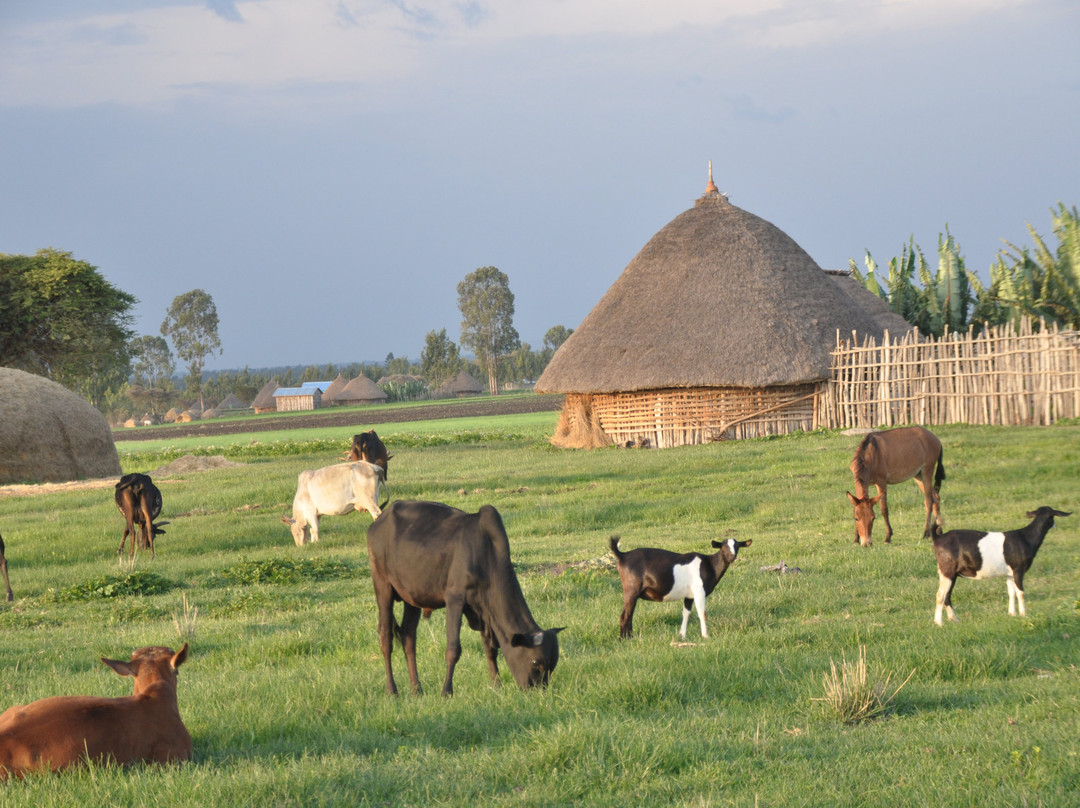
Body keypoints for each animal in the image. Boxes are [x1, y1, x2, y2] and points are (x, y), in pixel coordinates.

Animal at [367, 499, 561, 695]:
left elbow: (490, 649)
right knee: (386, 638)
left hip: (412, 596)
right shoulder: (455, 599)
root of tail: (379, 520)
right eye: (535, 662)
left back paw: (416, 689)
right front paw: (446, 691)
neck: (487, 553)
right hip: (382, 584)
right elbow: (453, 649)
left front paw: (496, 685)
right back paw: (392, 690)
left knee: (408, 636)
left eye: (552, 666)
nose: (538, 691)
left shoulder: (482, 610)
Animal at [609, 533, 751, 639]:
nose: (732, 556)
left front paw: (682, 636)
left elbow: (686, 614)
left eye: (737, 546)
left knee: (630, 614)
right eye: (723, 546)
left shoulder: (689, 596)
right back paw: (623, 640)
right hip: (631, 589)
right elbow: (702, 613)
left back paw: (630, 637)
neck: (709, 564)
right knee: (625, 615)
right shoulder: (699, 591)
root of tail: (623, 555)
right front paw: (706, 636)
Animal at [928, 505, 1071, 626]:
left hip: (949, 574)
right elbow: (1020, 592)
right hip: (947, 571)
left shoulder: (1010, 574)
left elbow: (1011, 592)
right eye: (1052, 516)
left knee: (947, 596)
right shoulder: (1018, 570)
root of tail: (938, 538)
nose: (1055, 525)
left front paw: (1012, 614)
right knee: (940, 595)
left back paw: (954, 620)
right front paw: (1024, 614)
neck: (1026, 538)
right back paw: (939, 623)